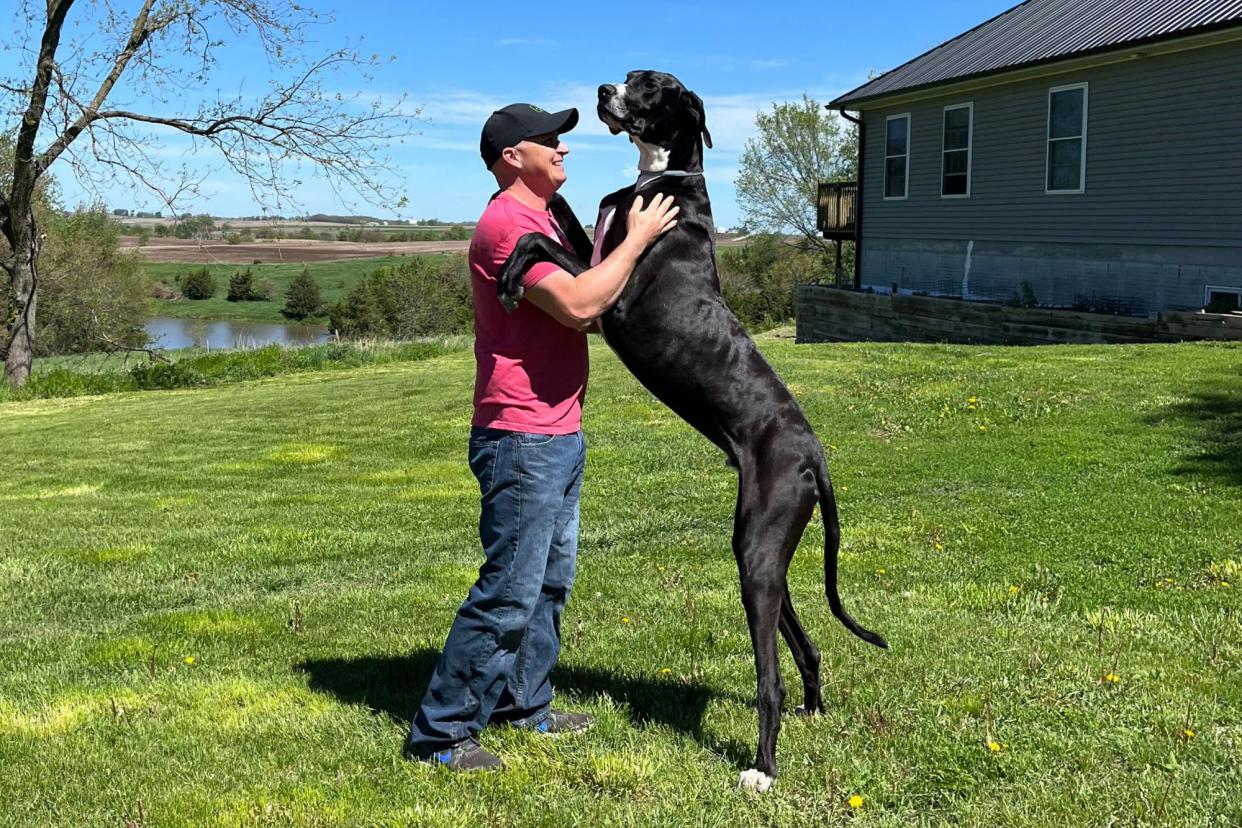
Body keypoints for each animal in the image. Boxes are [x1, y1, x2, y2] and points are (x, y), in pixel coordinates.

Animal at [491, 72, 884, 794]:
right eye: (629, 76)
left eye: (650, 87)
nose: (603, 88)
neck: (661, 176)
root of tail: (814, 453)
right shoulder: (596, 258)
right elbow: (561, 224)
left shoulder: (610, 300)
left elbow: (540, 244)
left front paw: (510, 272)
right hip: (763, 549)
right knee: (805, 642)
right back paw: (814, 708)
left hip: (758, 552)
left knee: (768, 679)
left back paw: (762, 769)